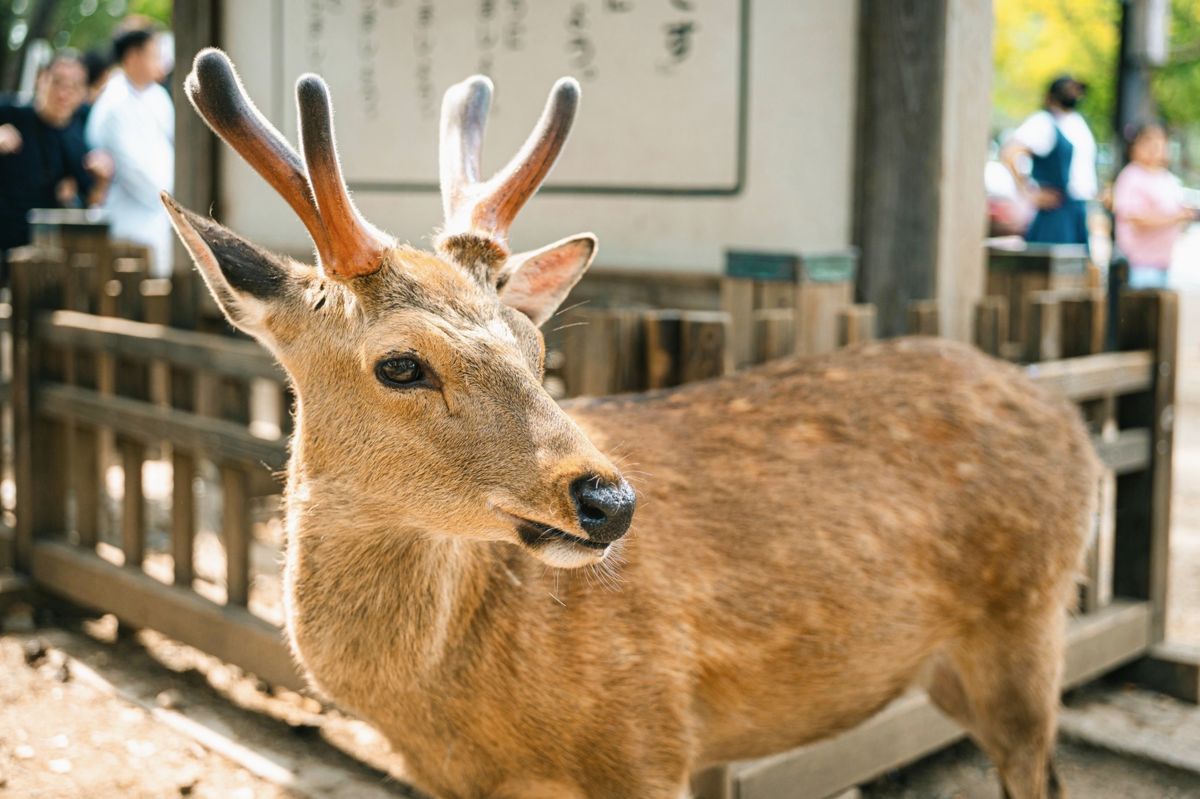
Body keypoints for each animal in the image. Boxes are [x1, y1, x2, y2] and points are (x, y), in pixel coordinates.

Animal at [164, 48, 1096, 799]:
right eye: (400, 363)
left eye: (536, 345)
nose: (609, 501)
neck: (451, 714)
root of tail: (1072, 420)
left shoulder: (649, 735)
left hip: (1026, 625)